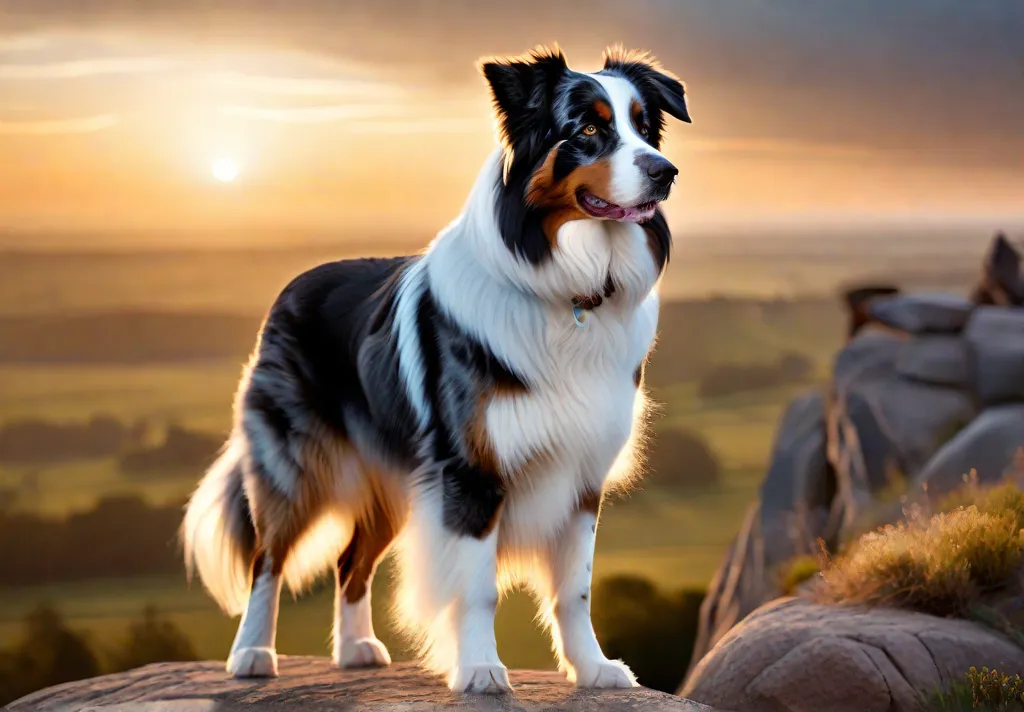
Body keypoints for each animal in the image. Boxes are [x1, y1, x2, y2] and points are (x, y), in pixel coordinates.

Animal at [183, 44, 692, 696]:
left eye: (645, 128)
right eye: (587, 130)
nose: (665, 171)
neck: (568, 288)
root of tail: (295, 283)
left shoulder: (580, 473)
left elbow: (574, 588)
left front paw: (593, 668)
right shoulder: (470, 470)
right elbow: (476, 586)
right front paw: (479, 669)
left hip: (390, 479)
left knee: (350, 560)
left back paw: (357, 650)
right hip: (297, 464)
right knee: (268, 557)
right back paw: (251, 654)